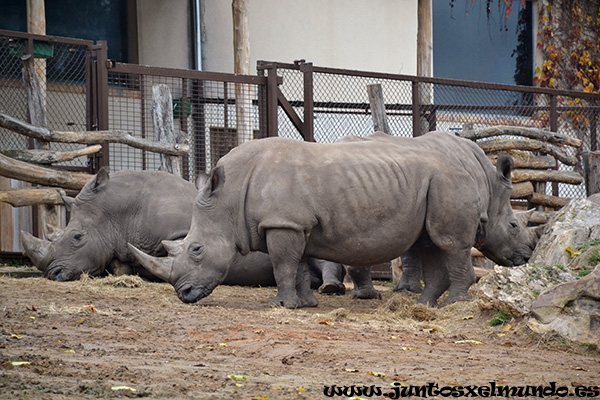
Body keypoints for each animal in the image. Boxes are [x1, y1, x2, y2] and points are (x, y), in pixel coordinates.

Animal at [130, 130, 536, 306]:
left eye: (196, 249)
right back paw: (424, 306)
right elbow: (295, 266)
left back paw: (453, 306)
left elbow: (282, 265)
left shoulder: (285, 222)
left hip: (447, 182)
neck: (228, 198)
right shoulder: (292, 223)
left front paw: (282, 306)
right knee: (432, 243)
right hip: (435, 185)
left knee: (450, 245)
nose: (184, 295)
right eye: (515, 226)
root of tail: (467, 166)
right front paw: (305, 305)